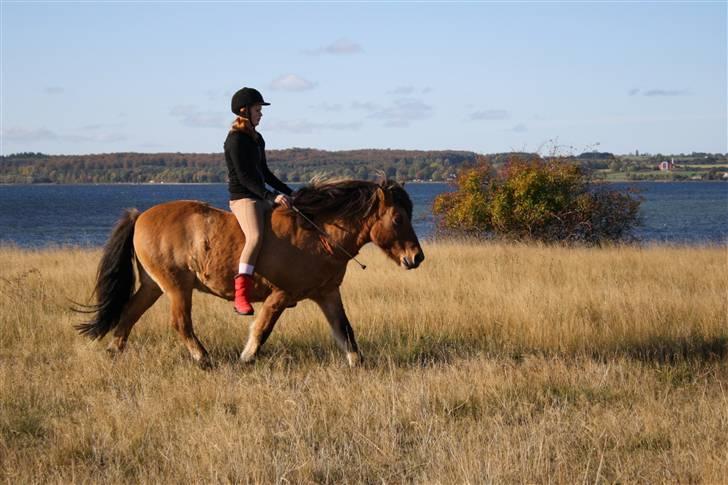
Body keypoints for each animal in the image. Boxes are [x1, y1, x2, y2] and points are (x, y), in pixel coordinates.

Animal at [74, 179, 424, 366]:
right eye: (397, 218)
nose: (416, 257)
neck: (318, 233)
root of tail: (141, 216)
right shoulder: (281, 295)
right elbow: (261, 329)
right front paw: (246, 359)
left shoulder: (327, 294)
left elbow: (345, 331)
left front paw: (358, 365)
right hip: (176, 287)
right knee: (180, 323)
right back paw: (204, 360)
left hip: (153, 286)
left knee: (129, 314)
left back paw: (113, 352)